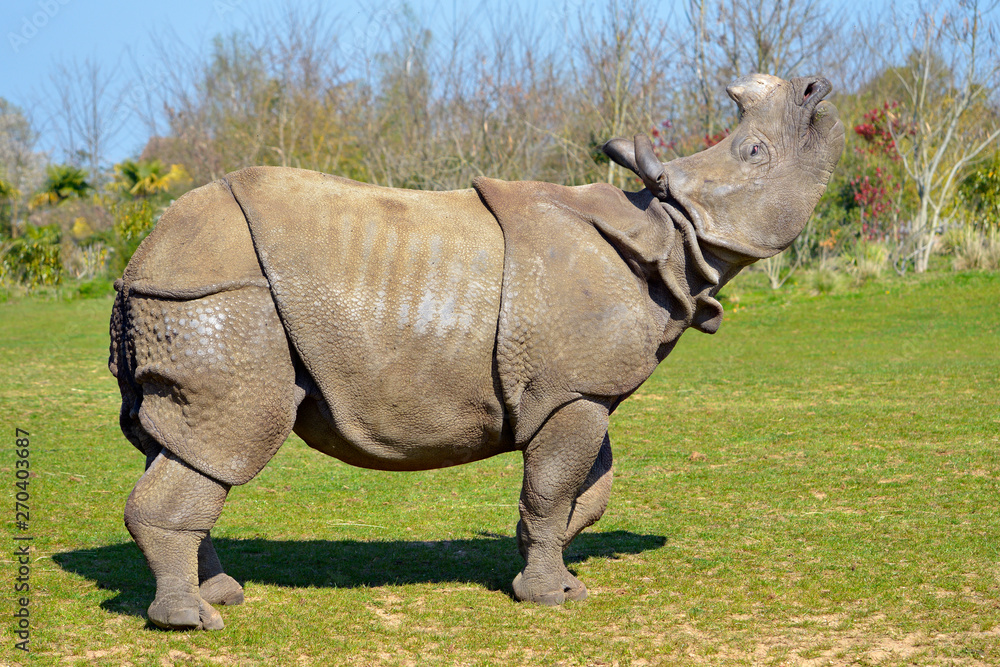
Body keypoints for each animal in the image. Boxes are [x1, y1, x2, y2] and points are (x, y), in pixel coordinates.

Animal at [109, 73, 843, 630]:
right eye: (755, 151)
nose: (816, 89)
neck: (669, 232)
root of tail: (138, 258)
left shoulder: (579, 389)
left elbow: (587, 492)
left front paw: (552, 574)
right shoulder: (573, 390)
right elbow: (552, 489)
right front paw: (550, 598)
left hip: (191, 296)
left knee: (183, 446)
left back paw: (220, 594)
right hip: (219, 296)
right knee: (231, 438)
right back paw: (194, 620)